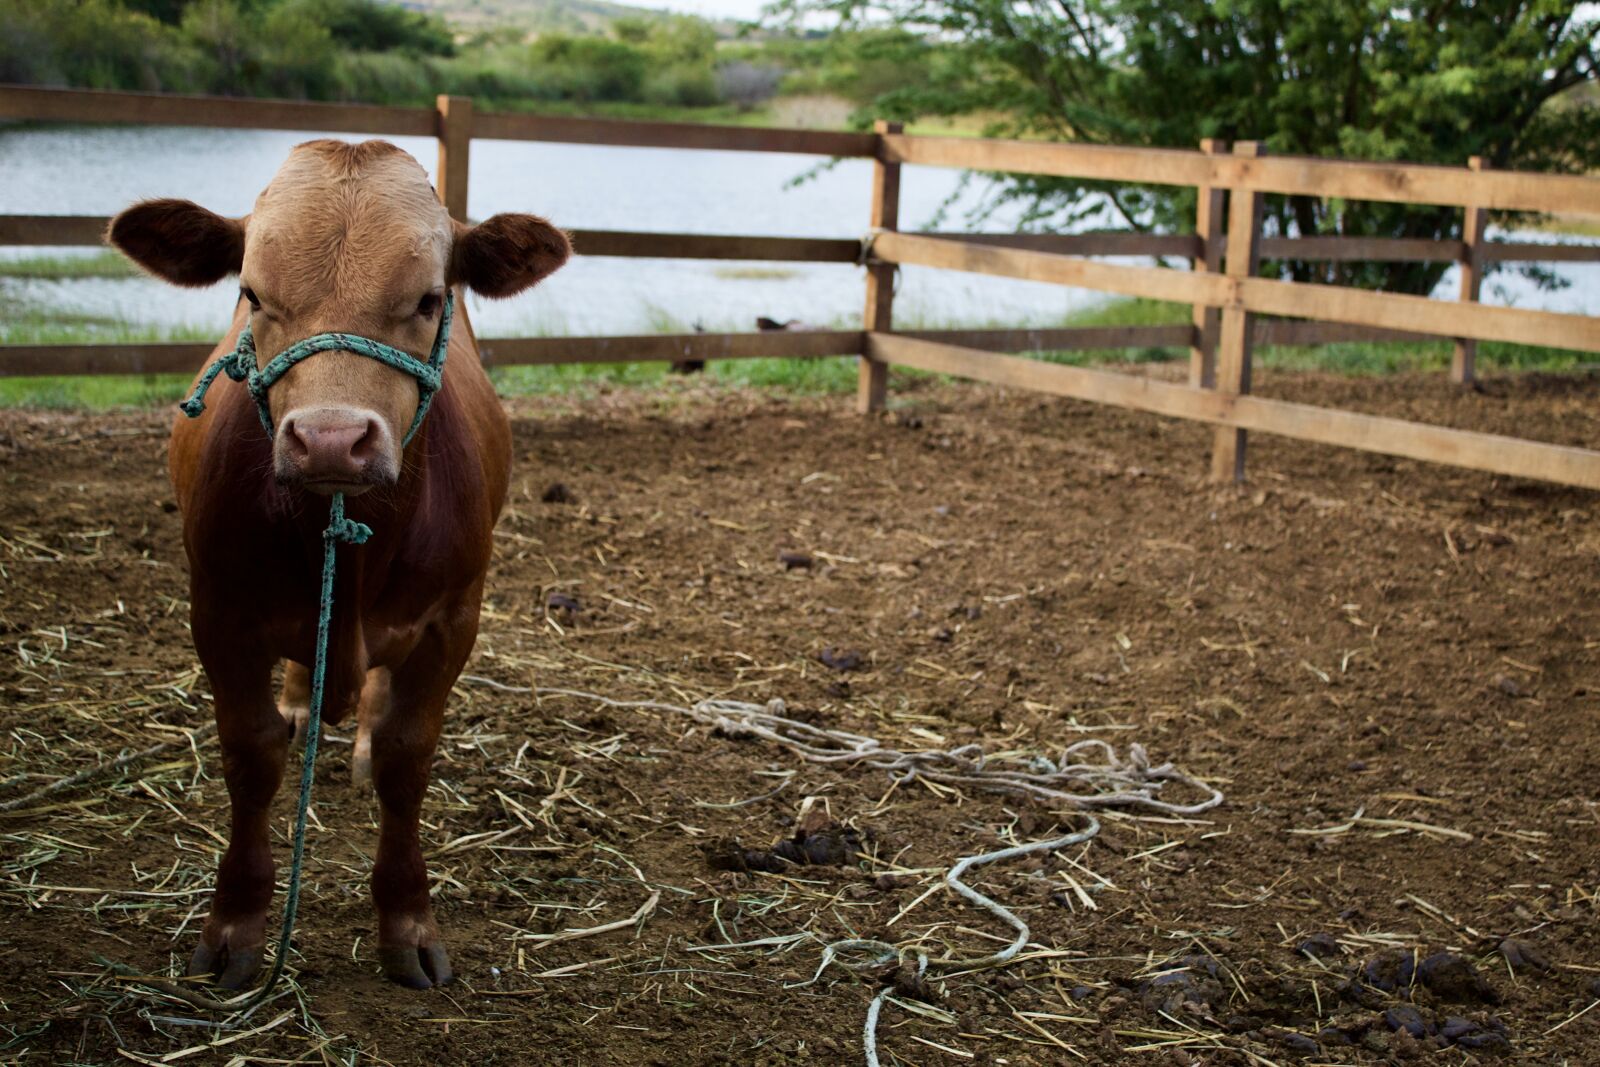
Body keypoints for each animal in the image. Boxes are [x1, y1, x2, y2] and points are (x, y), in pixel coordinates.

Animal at [108, 139, 569, 990]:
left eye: (428, 298)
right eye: (252, 292)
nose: (328, 439)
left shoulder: (454, 618)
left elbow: (405, 754)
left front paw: (407, 919)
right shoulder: (218, 612)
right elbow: (251, 751)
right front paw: (236, 921)